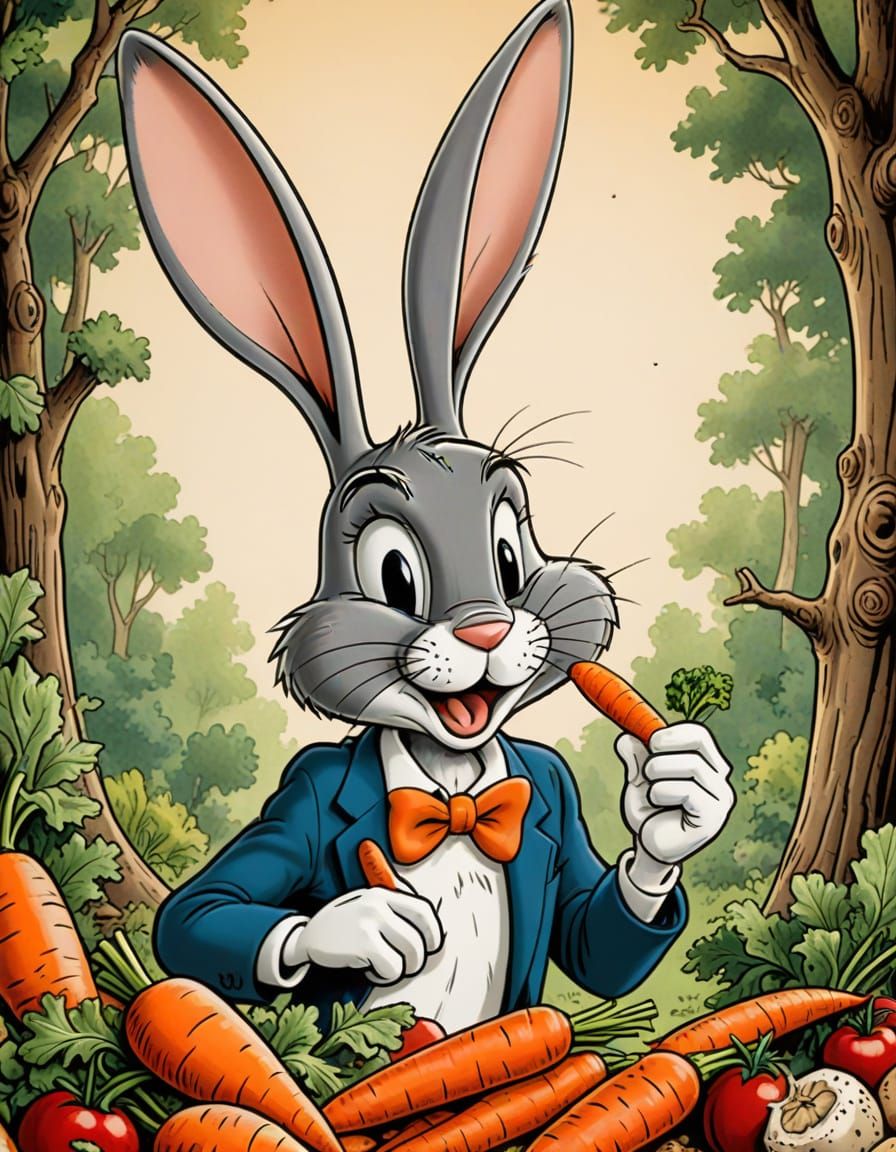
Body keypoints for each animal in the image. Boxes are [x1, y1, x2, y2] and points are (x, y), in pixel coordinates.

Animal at [118, 0, 734, 1033]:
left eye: (510, 555)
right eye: (394, 574)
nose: (486, 628)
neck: (451, 785)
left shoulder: (550, 799)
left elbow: (597, 937)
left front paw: (676, 802)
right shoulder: (299, 798)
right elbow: (200, 911)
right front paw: (367, 927)